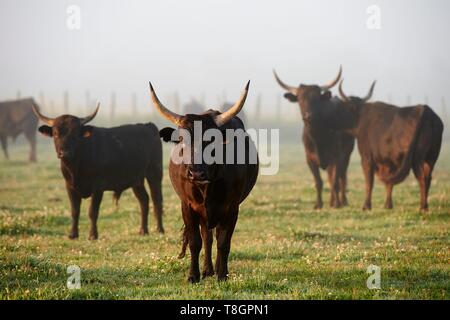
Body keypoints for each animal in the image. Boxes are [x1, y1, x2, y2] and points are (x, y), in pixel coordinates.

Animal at [149, 80, 258, 282]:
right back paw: (207, 270)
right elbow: (195, 242)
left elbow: (224, 242)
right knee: (207, 237)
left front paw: (222, 275)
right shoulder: (187, 206)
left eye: (211, 139)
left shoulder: (232, 207)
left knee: (215, 236)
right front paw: (193, 275)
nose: (196, 173)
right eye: (181, 139)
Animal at [274, 66, 356, 209]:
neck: (318, 137)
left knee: (342, 177)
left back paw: (341, 201)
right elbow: (319, 182)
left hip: (347, 154)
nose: (308, 116)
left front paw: (337, 204)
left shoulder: (336, 157)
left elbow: (335, 181)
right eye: (300, 99)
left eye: (316, 99)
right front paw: (318, 204)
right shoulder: (310, 159)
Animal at [334, 79, 442, 210]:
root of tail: (425, 110)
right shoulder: (388, 162)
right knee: (428, 177)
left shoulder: (367, 158)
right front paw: (388, 205)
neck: (361, 118)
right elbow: (389, 183)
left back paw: (422, 207)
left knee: (422, 178)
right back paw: (425, 205)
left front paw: (366, 206)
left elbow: (369, 182)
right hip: (432, 156)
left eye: (343, 108)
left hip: (417, 158)